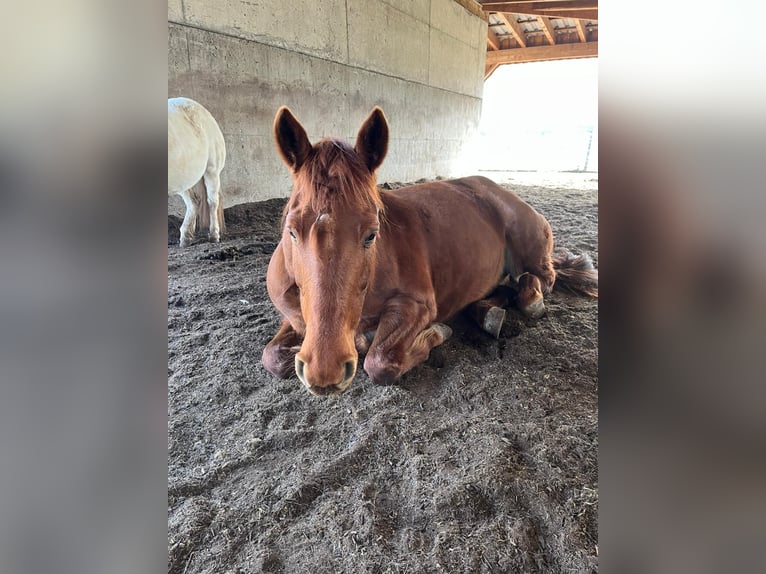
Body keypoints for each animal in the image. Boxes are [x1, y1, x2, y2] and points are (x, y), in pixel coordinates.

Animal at [168, 97, 226, 247]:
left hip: (212, 171)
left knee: (212, 202)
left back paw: (214, 235)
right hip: (183, 178)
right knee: (194, 202)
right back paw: (186, 237)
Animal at [262, 106, 598, 396]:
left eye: (372, 234)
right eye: (292, 231)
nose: (325, 370)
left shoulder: (417, 305)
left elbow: (380, 360)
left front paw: (434, 334)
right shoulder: (297, 312)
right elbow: (272, 355)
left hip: (531, 252)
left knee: (539, 280)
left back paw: (527, 300)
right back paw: (488, 313)